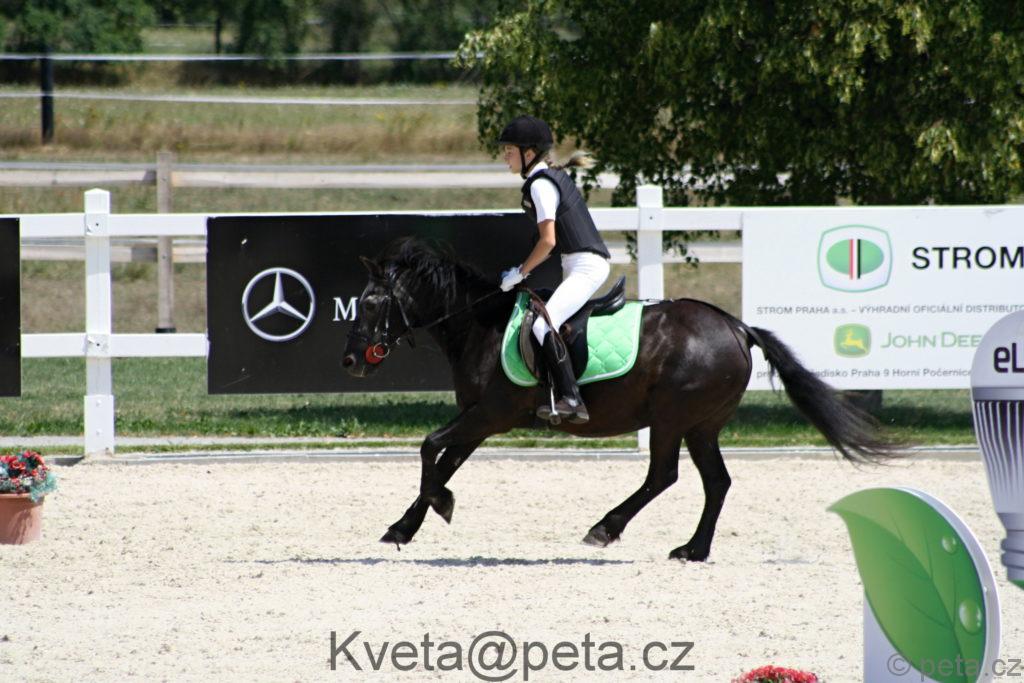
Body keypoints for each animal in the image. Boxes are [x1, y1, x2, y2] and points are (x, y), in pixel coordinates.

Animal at [341, 238, 896, 561]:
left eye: (369, 303)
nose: (349, 361)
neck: (481, 323)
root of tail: (737, 326)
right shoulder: (477, 417)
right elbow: (443, 459)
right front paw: (406, 526)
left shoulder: (491, 414)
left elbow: (430, 448)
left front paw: (438, 507)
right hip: (702, 424)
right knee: (715, 482)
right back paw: (692, 550)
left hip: (672, 417)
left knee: (664, 475)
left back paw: (605, 529)